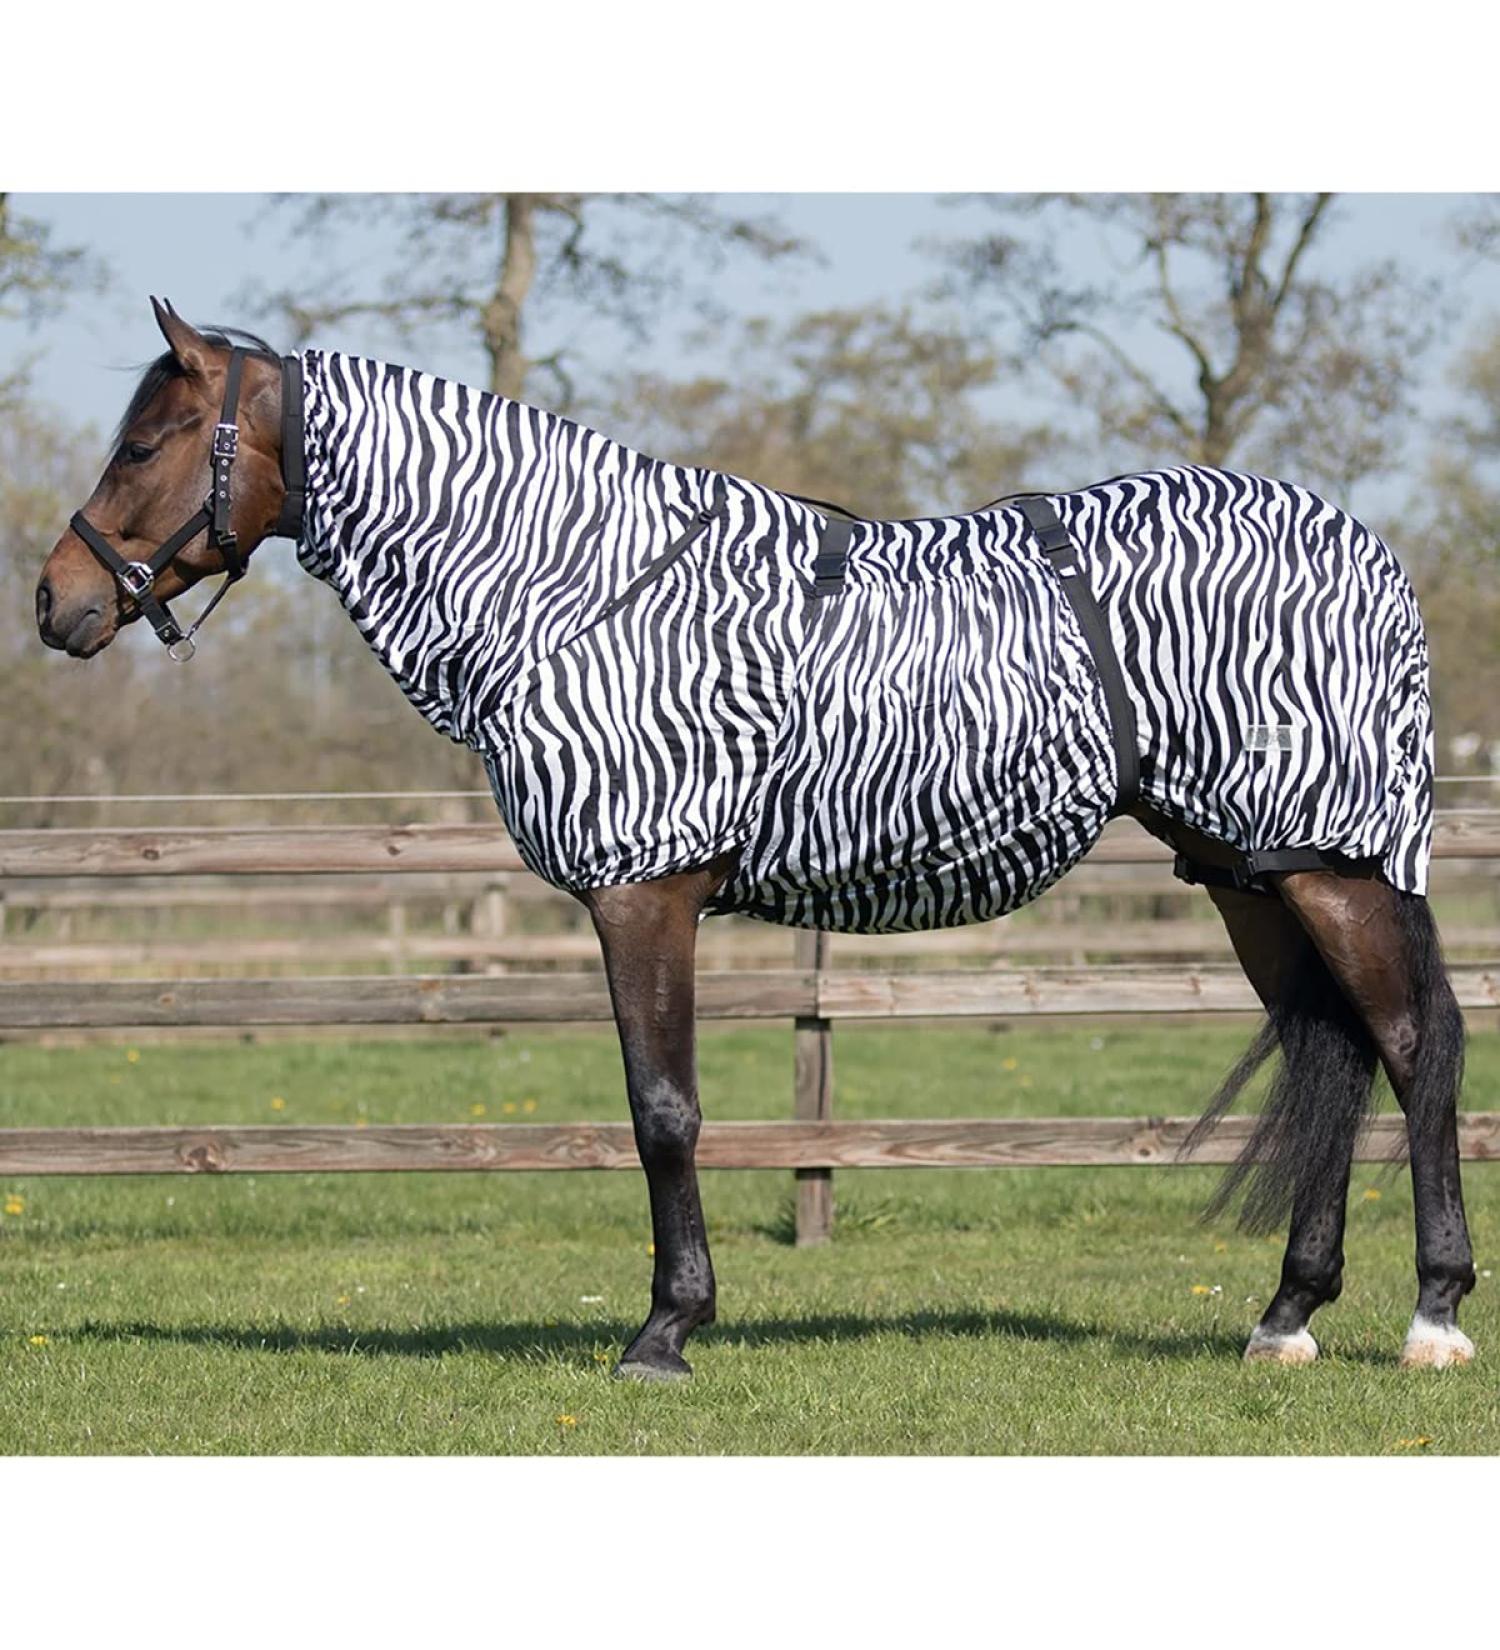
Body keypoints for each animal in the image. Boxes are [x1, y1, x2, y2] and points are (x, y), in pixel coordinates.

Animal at [36, 300, 1475, 1380]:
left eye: (147, 443)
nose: (54, 600)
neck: (574, 590)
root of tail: (1367, 549)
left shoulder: (644, 893)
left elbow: (663, 1107)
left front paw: (666, 1329)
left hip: (1334, 864)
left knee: (1414, 1046)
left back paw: (1434, 1314)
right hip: (1249, 872)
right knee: (1335, 1046)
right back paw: (1286, 1317)